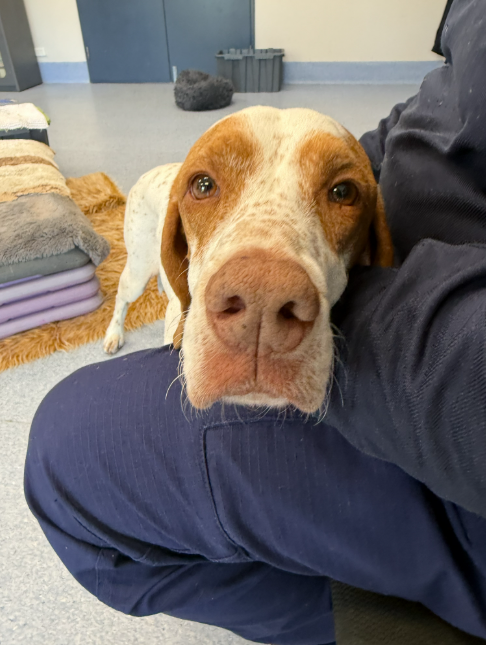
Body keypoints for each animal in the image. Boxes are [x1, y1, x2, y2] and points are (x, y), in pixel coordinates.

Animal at [103, 106, 393, 414]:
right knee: (121, 297)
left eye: (344, 192)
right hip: (137, 270)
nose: (261, 303)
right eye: (203, 185)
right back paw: (113, 335)